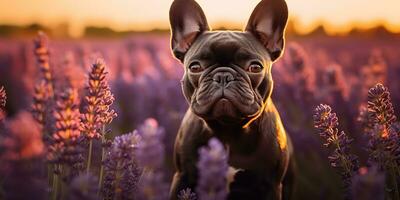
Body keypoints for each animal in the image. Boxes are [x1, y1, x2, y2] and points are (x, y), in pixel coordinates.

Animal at [168, 0, 294, 198]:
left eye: (255, 67)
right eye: (195, 67)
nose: (223, 76)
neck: (228, 129)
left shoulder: (270, 185)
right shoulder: (183, 177)